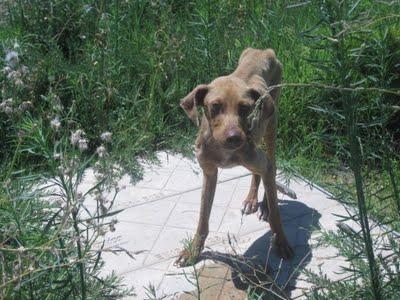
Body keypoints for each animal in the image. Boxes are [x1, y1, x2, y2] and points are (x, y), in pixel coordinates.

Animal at [177, 48, 296, 266]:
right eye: (215, 106)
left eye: (245, 108)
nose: (234, 138)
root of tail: (263, 50)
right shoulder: (209, 173)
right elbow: (203, 218)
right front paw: (193, 251)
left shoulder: (258, 158)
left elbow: (276, 215)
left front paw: (281, 241)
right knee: (261, 172)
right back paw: (252, 199)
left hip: (270, 126)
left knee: (271, 167)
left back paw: (265, 204)